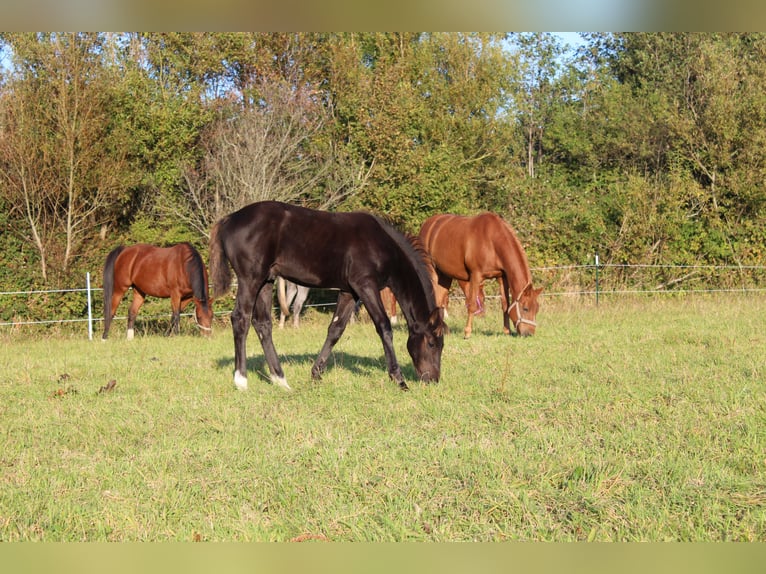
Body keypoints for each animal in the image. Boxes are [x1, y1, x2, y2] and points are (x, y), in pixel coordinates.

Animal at [209, 201, 446, 391]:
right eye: (432, 343)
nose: (432, 379)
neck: (382, 245)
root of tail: (229, 219)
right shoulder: (366, 285)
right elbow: (384, 327)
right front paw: (399, 379)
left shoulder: (350, 291)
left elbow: (336, 329)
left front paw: (316, 373)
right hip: (250, 279)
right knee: (240, 318)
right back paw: (241, 381)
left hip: (266, 282)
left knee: (263, 324)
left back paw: (280, 380)